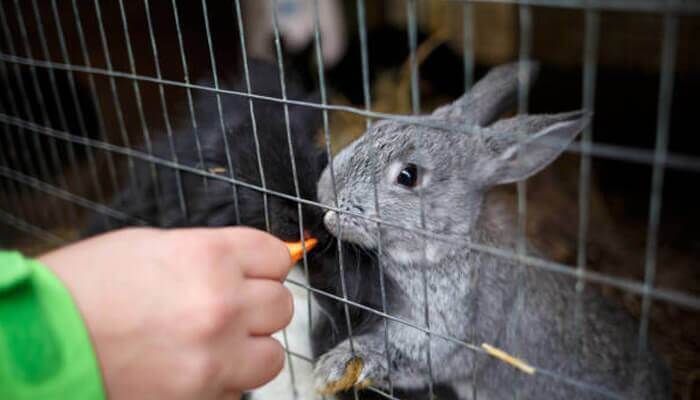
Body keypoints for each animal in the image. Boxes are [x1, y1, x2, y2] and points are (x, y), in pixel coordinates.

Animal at [313, 62, 672, 399]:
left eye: (408, 176)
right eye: (375, 127)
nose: (326, 194)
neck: (450, 246)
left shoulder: (448, 332)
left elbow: (404, 352)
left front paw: (334, 367)